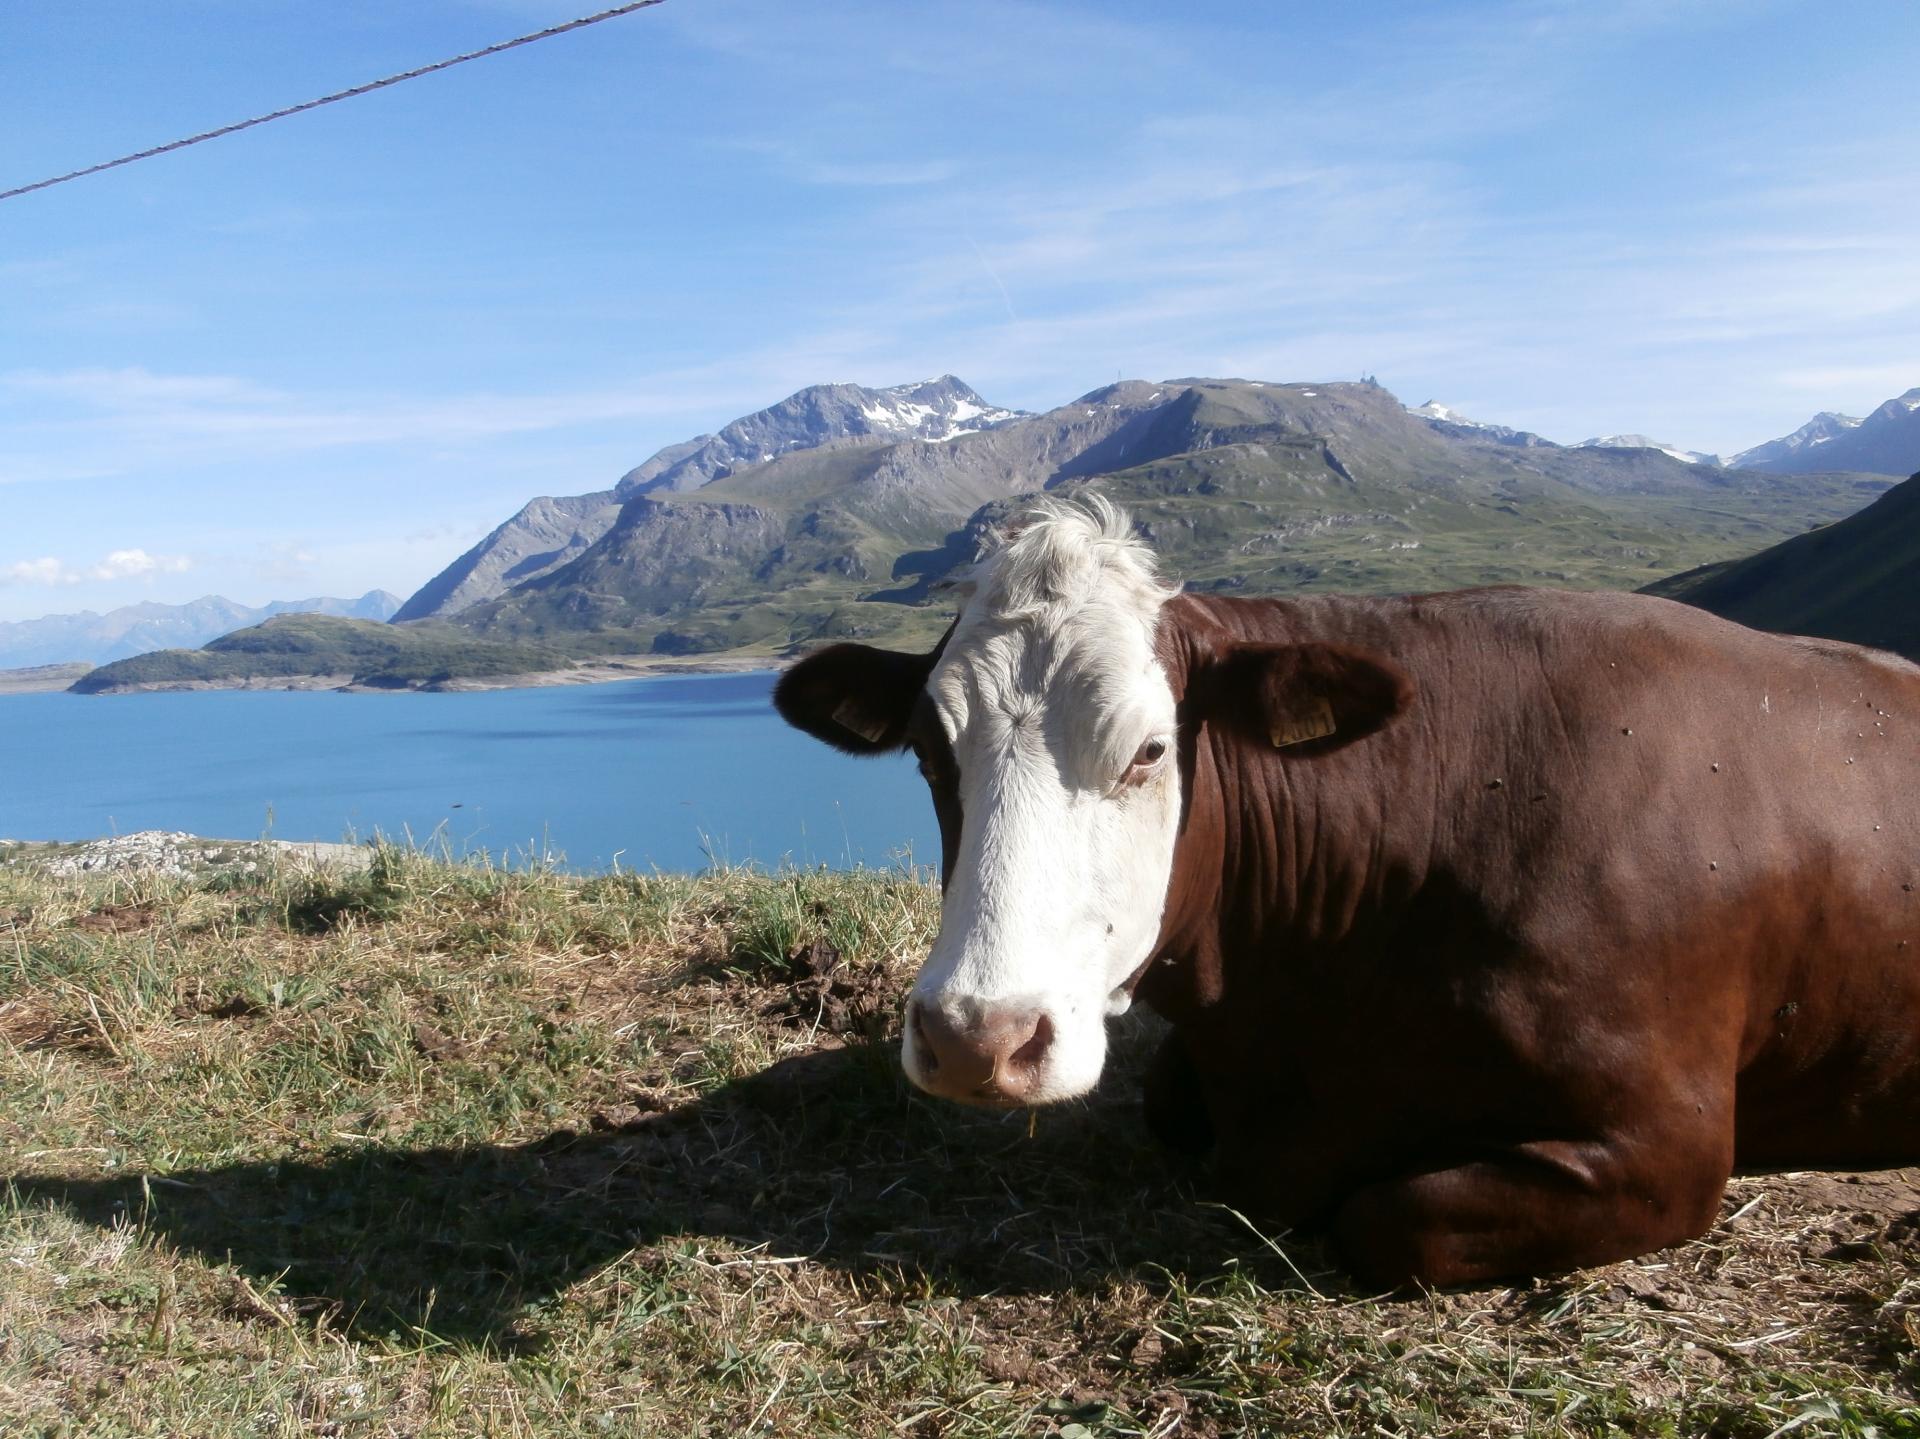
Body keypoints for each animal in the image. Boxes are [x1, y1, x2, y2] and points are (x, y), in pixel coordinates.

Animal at [768, 495, 1920, 1283]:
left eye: (1149, 751)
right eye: (929, 754)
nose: (977, 1036)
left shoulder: (1666, 1138)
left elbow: (1393, 1216)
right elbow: (1171, 1104)